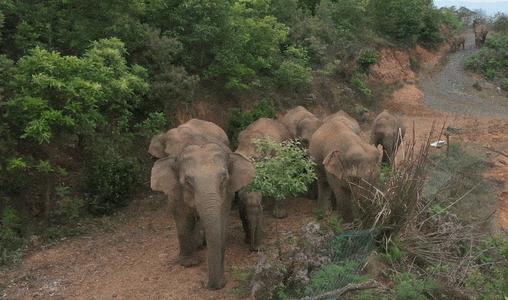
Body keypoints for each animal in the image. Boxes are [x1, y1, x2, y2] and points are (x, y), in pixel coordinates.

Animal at [150, 122, 254, 290]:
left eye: (224, 178)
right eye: (187, 181)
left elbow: (221, 217)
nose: (212, 284)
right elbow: (182, 217)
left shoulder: (227, 192)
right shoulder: (175, 189)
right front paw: (189, 264)